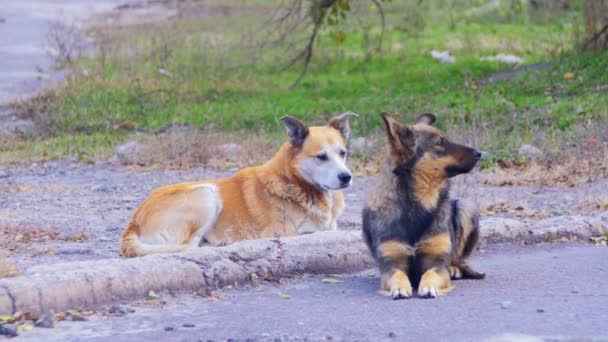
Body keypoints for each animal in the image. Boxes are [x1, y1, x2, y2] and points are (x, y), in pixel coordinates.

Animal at [120, 112, 356, 256]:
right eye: (321, 157)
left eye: (342, 153)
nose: (346, 177)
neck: (295, 183)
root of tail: (132, 223)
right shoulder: (280, 233)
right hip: (207, 193)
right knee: (189, 245)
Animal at [360, 113, 484, 300]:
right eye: (440, 142)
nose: (479, 153)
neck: (417, 204)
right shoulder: (391, 264)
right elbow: (398, 274)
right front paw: (400, 288)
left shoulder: (437, 263)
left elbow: (430, 273)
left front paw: (429, 286)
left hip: (466, 206)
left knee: (458, 258)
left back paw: (455, 268)